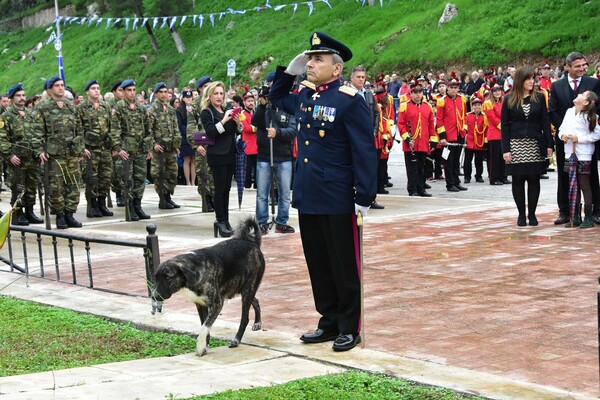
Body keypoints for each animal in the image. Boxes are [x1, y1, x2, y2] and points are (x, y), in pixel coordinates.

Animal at [154, 219, 266, 356]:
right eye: (155, 278)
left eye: (167, 278)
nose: (154, 296)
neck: (195, 270)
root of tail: (253, 243)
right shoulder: (200, 304)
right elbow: (204, 325)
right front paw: (205, 346)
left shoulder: (217, 304)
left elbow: (204, 327)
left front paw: (200, 346)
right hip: (242, 288)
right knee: (256, 300)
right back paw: (257, 322)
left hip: (247, 290)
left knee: (245, 318)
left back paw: (236, 339)